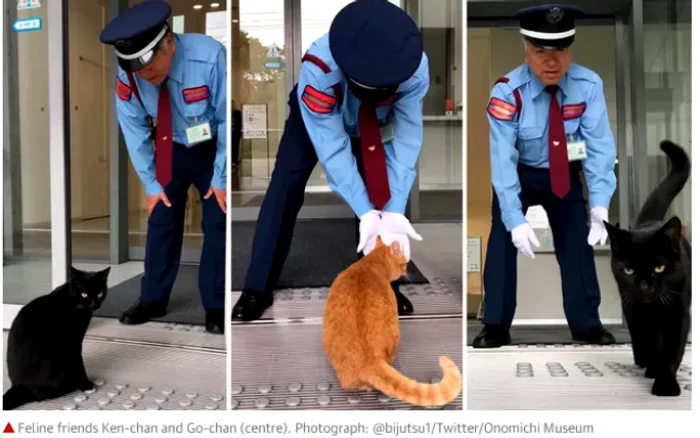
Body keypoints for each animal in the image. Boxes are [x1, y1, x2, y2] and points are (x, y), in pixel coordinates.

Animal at [3, 266, 109, 410]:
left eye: (99, 293)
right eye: (84, 294)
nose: (94, 304)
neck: (71, 301)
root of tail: (19, 387)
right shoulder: (73, 345)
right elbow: (79, 365)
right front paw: (86, 385)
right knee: (41, 396)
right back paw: (71, 384)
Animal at [604, 140, 692, 396]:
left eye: (660, 267)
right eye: (629, 270)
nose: (644, 287)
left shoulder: (678, 313)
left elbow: (672, 350)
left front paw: (665, 383)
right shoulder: (637, 310)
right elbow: (647, 340)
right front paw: (652, 367)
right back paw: (644, 361)